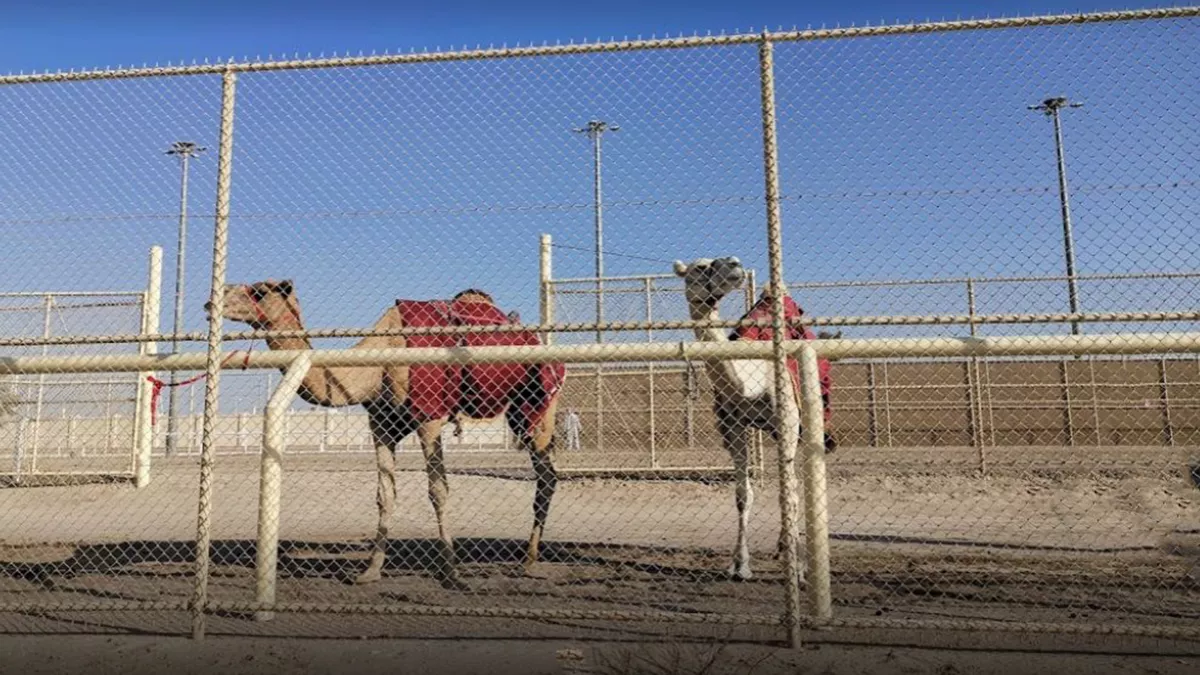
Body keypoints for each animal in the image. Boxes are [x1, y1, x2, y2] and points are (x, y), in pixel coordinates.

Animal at [209, 279, 565, 590]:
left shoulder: (429, 418)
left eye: (259, 290)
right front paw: (370, 571)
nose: (212, 300)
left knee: (547, 475)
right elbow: (384, 495)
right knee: (547, 475)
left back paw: (530, 561)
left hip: (536, 406)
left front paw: (451, 573)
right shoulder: (382, 426)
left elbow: (438, 491)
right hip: (519, 413)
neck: (376, 366)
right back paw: (529, 558)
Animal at [672, 256, 834, 581]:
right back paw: (783, 546)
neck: (748, 383)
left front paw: (798, 568)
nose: (734, 264)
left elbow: (789, 494)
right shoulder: (732, 428)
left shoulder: (786, 424)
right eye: (700, 267)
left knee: (795, 485)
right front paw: (740, 565)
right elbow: (742, 495)